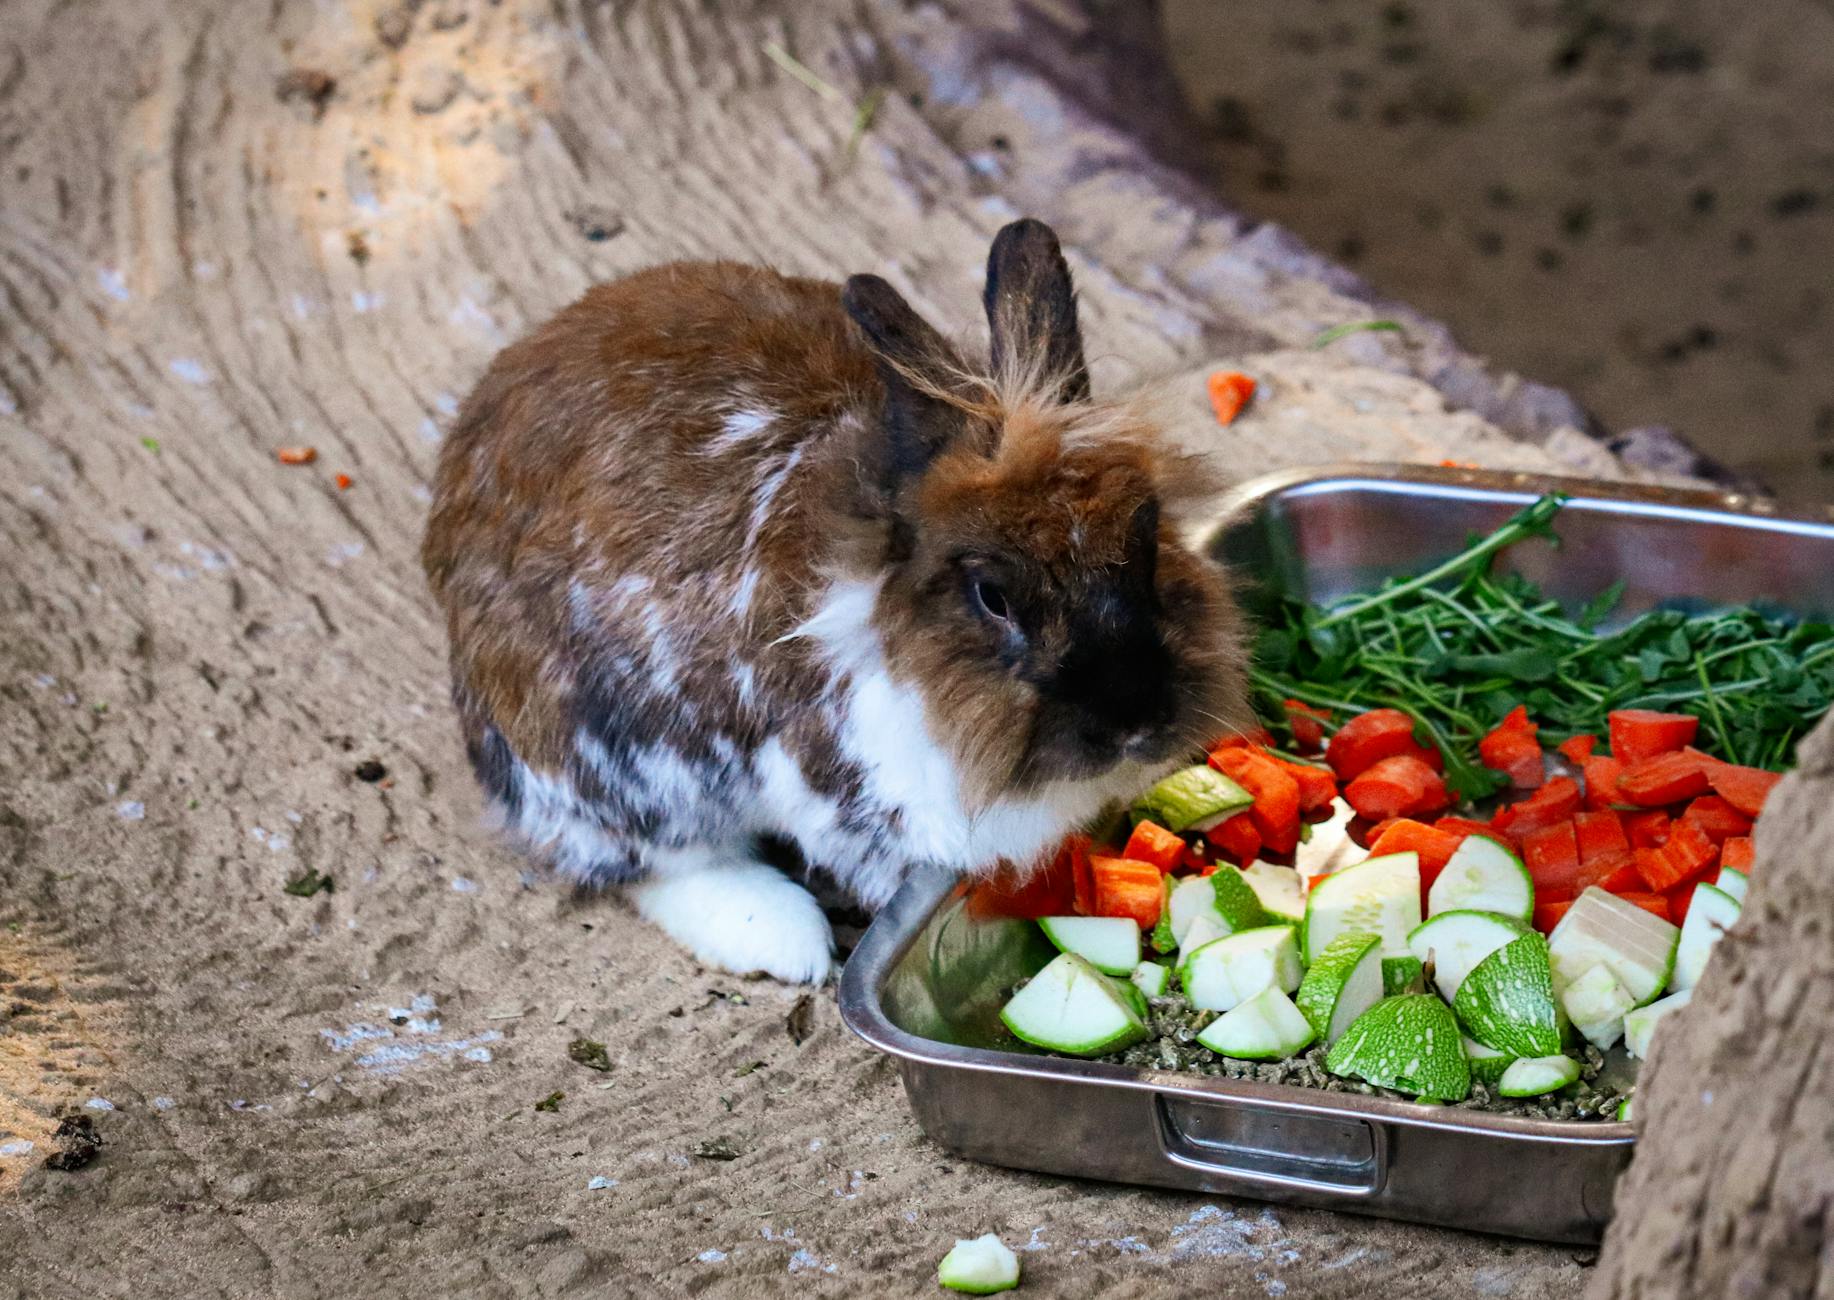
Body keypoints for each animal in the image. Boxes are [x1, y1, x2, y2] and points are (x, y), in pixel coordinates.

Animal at [422, 219, 1250, 984]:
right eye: (993, 596)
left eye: (1147, 538)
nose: (1135, 722)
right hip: (613, 759)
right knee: (651, 861)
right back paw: (786, 941)